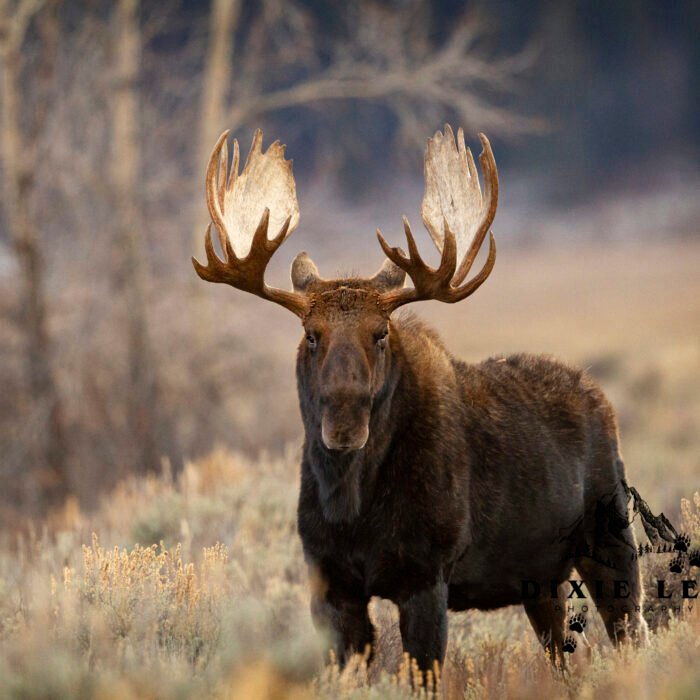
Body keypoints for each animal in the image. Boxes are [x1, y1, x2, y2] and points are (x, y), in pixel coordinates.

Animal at [193, 126, 649, 677]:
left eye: (381, 332)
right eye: (311, 334)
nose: (344, 423)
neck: (352, 503)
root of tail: (601, 399)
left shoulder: (425, 577)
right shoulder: (331, 583)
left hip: (612, 541)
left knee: (633, 634)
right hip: (542, 579)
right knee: (558, 652)